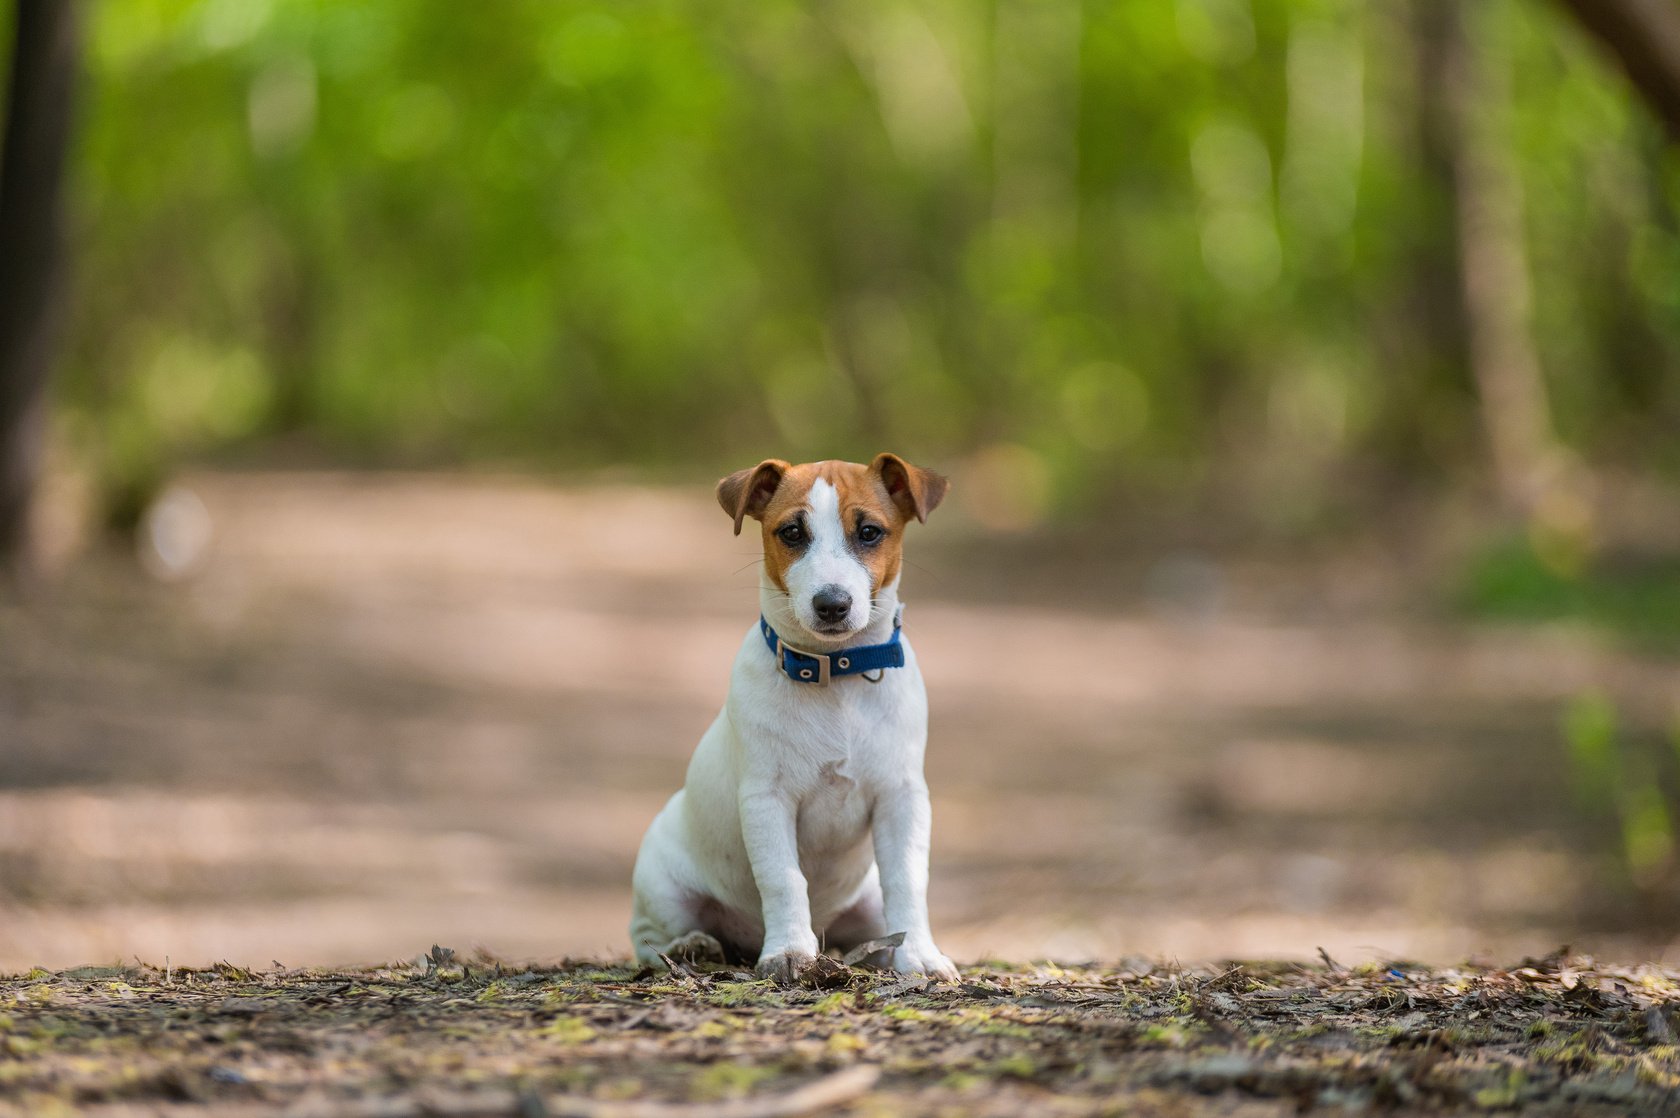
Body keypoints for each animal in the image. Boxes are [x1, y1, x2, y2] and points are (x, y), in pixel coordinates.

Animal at [631, 450, 960, 975]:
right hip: (663, 889)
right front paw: (788, 951)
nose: (832, 604)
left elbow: (908, 879)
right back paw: (691, 946)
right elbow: (784, 878)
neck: (836, 677)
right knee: (649, 936)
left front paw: (920, 957)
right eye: (791, 532)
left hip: (865, 906)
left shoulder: (902, 798)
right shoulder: (768, 799)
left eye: (869, 532)